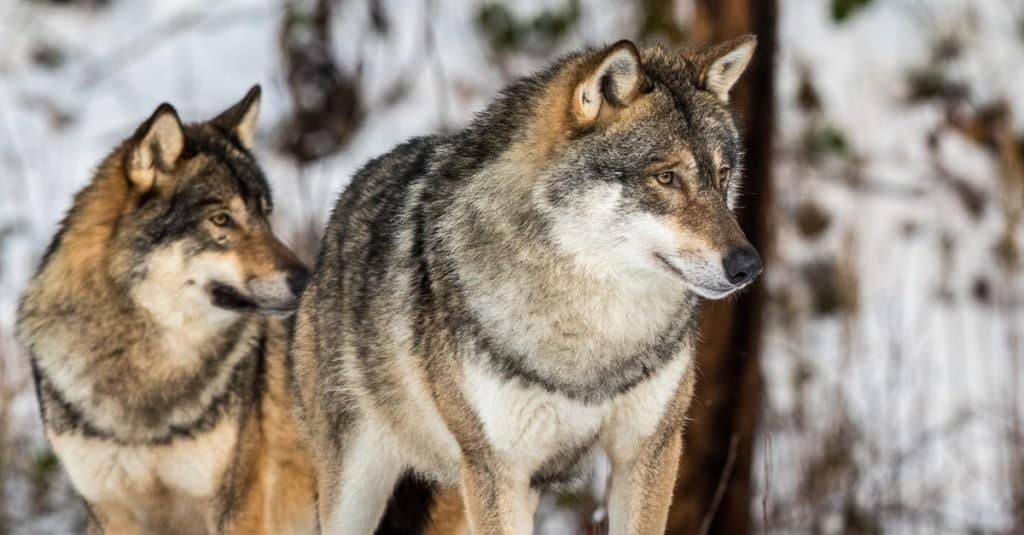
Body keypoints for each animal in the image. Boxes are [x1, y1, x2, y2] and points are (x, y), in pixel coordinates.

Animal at [292, 34, 765, 532]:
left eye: (723, 176)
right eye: (666, 177)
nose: (747, 266)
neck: (595, 331)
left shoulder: (649, 451)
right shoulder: (498, 469)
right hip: (362, 490)